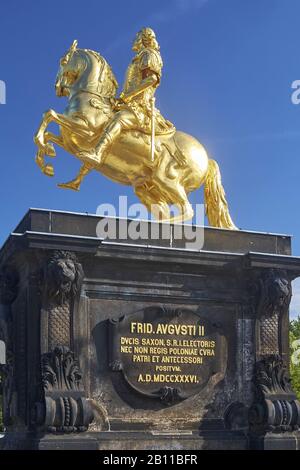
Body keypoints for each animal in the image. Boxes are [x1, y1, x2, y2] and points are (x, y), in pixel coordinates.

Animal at [34, 40, 237, 228]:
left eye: (63, 61)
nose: (57, 88)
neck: (90, 97)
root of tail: (207, 158)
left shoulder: (85, 130)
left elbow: (49, 114)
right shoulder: (70, 141)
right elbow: (49, 135)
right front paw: (48, 161)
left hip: (167, 179)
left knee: (187, 210)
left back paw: (158, 224)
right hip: (145, 188)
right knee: (166, 210)